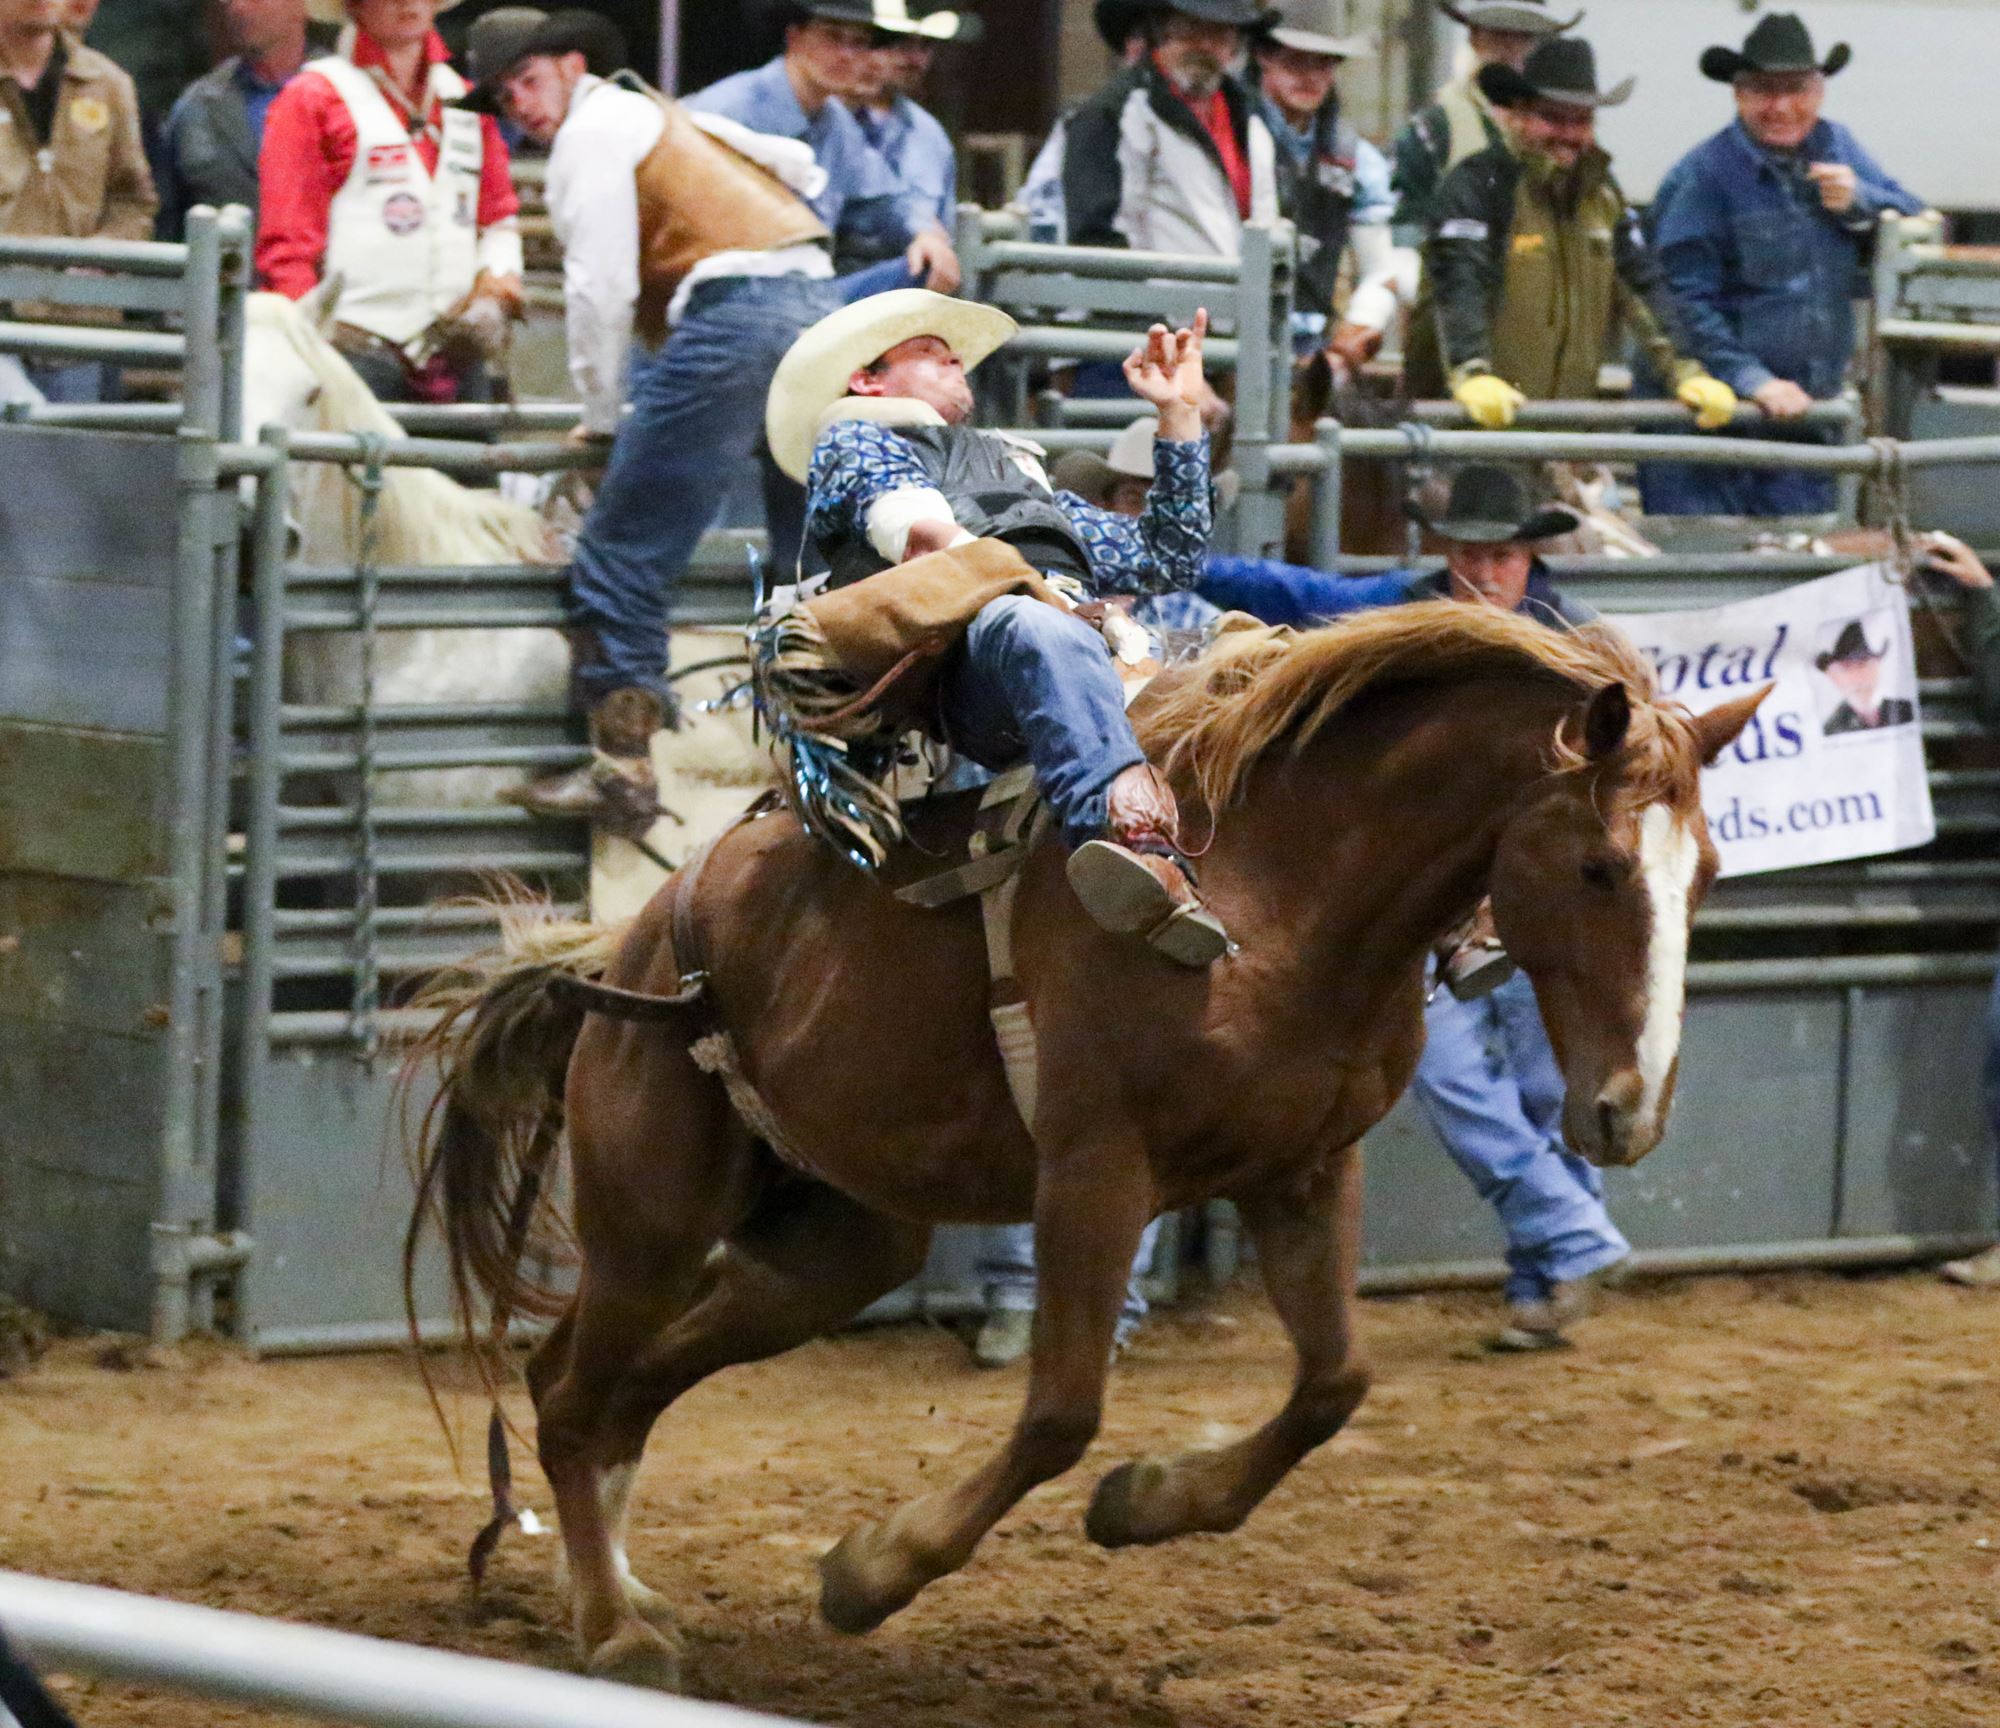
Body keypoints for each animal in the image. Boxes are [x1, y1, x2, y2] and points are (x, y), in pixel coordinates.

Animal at [406, 604, 1768, 1688]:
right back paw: (612, 1628)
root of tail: (629, 946)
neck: (1277, 890)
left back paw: (618, 1592)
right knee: (573, 1397)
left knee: (610, 1389)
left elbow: (1331, 1385)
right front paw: (871, 1572)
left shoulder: (1300, 1169)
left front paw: (1145, 1504)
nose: (1627, 1111)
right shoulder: (1095, 1172)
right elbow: (1061, 1410)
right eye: (1596, 867)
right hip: (653, 1216)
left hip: (825, 1250)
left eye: (1703, 871)